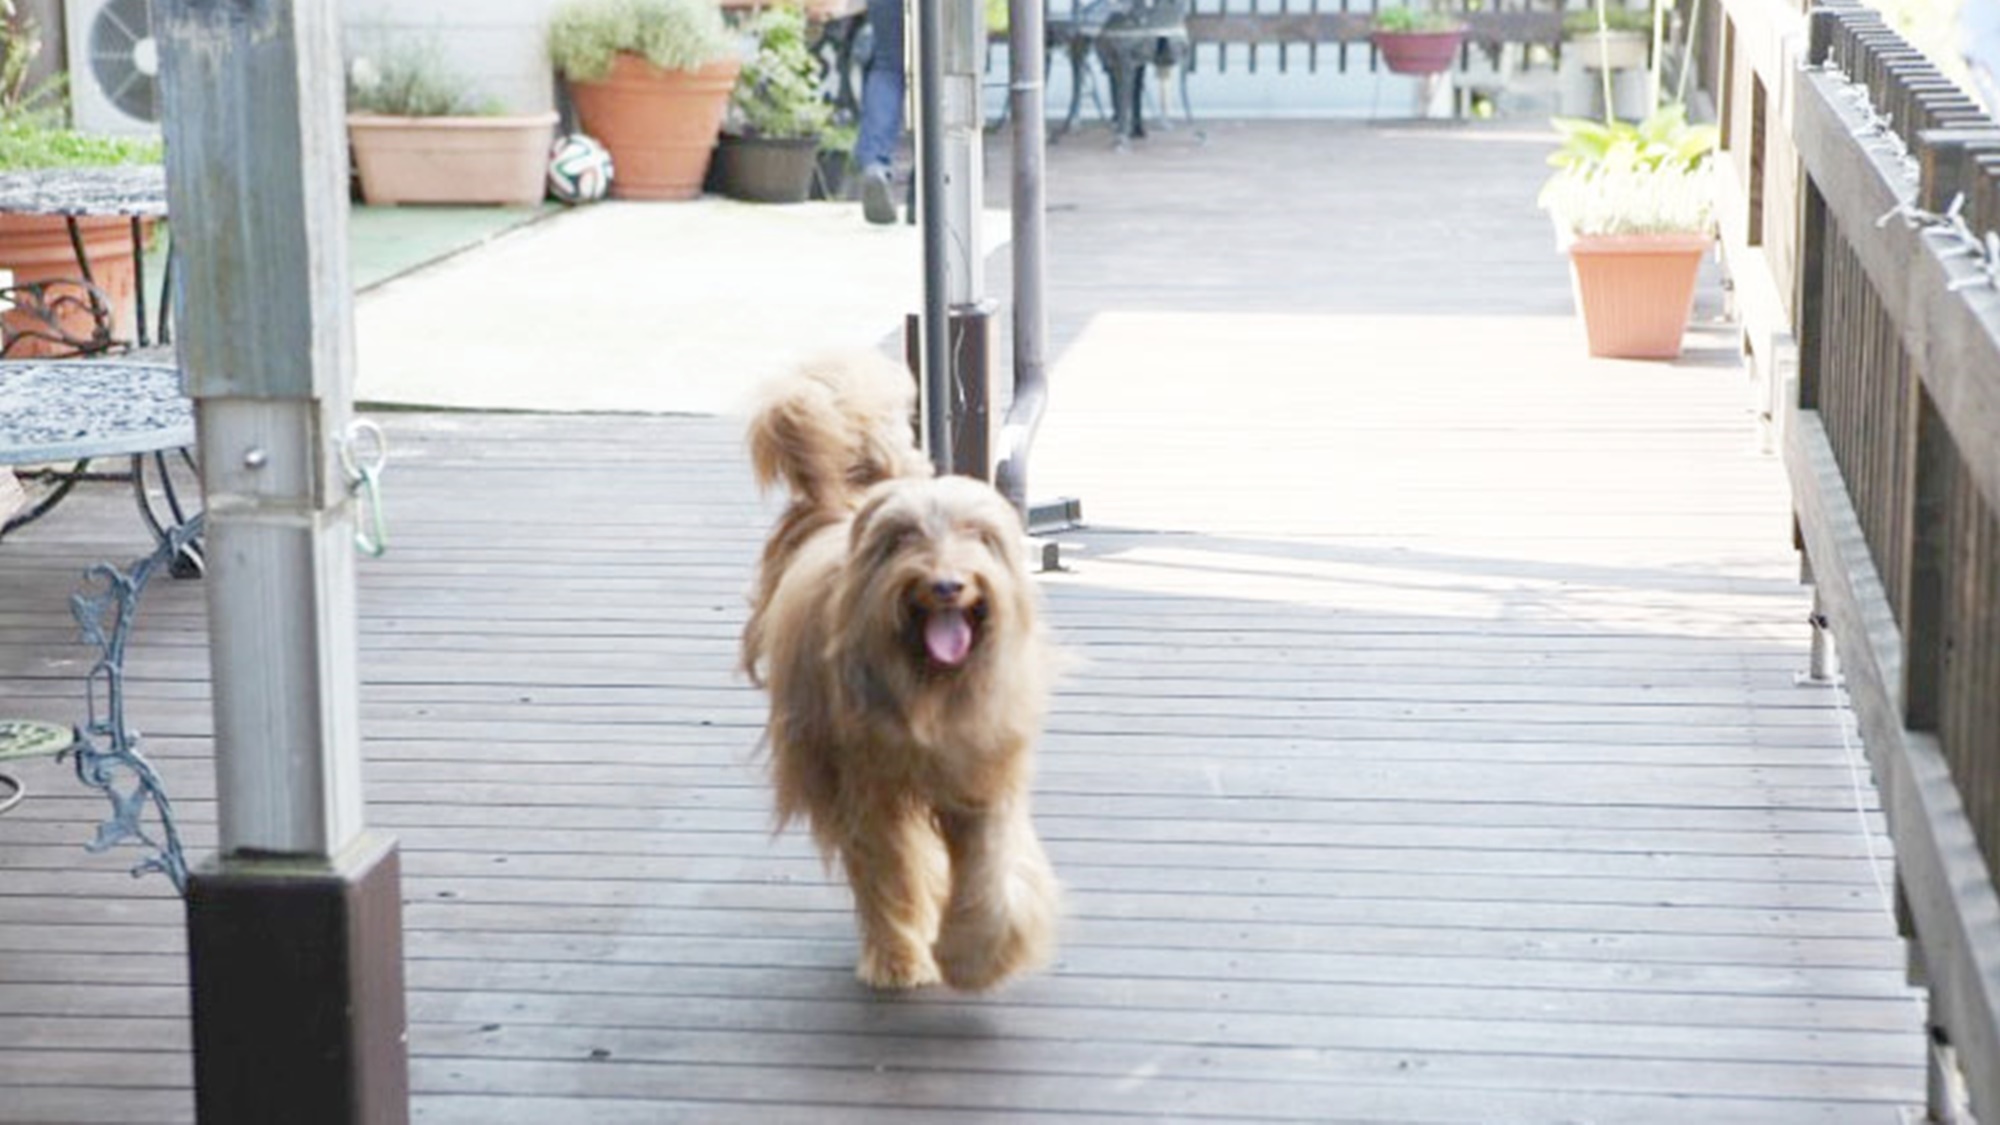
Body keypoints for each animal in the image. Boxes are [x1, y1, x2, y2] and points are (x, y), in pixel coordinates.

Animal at [744, 352, 1064, 988]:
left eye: (978, 535)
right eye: (904, 537)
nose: (946, 585)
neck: (928, 685)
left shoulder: (982, 772)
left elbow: (991, 865)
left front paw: (979, 953)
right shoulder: (866, 787)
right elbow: (889, 866)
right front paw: (899, 958)